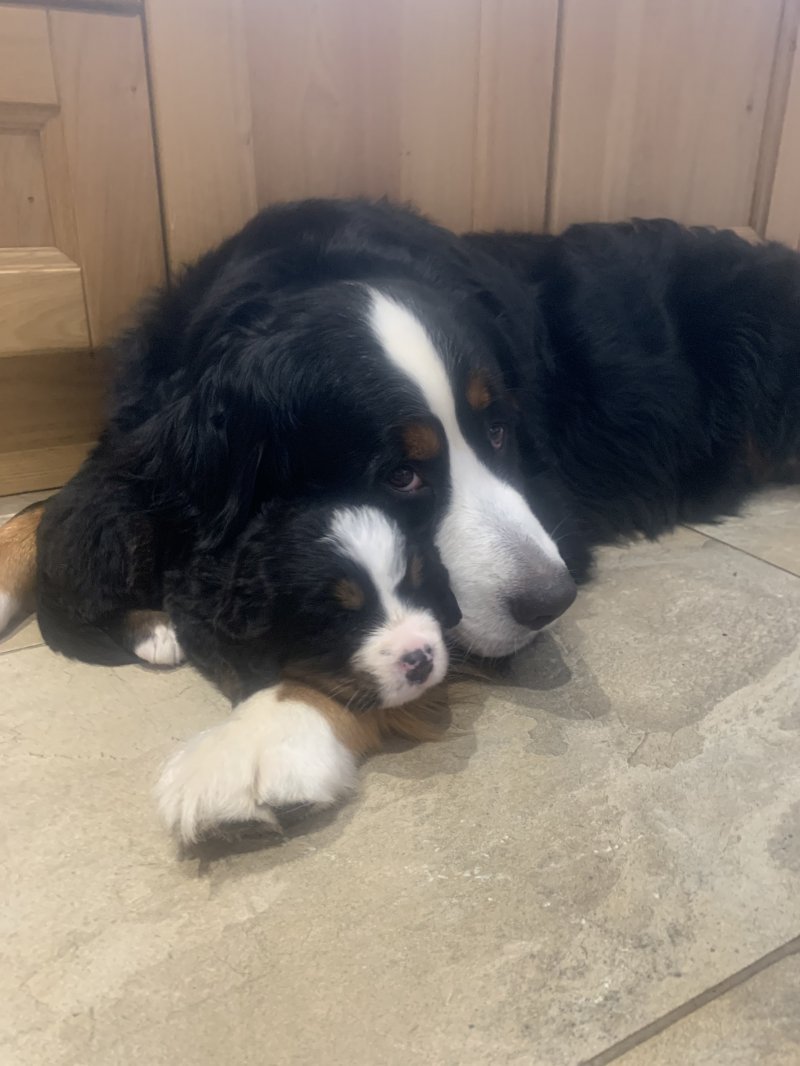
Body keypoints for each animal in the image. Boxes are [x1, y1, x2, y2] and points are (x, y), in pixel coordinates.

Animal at [0, 200, 797, 840]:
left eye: (500, 431)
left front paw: (265, 738)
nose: (552, 601)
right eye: (401, 473)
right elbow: (43, 507)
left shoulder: (548, 514)